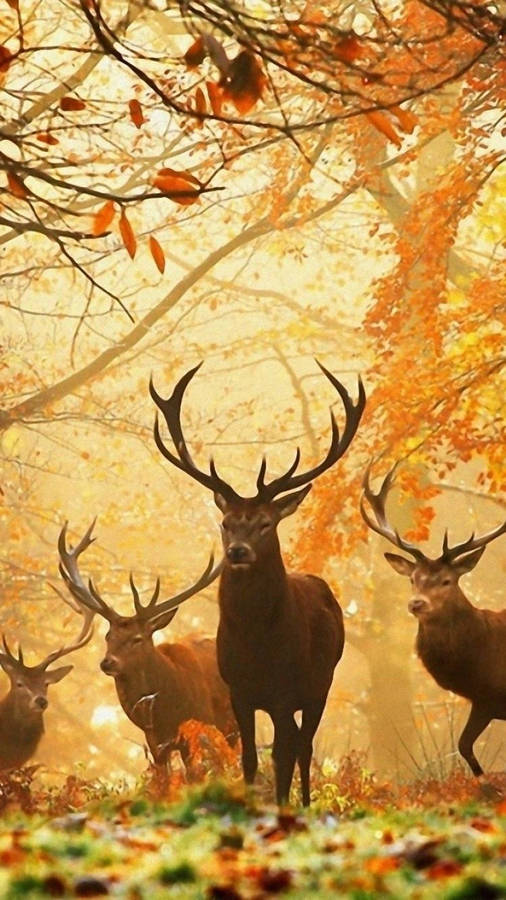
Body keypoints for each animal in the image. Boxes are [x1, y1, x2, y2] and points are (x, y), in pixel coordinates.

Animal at [57, 521, 237, 784]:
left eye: (137, 639)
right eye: (108, 636)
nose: (107, 663)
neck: (167, 710)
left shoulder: (197, 727)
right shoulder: (154, 742)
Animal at [149, 360, 366, 805]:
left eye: (266, 523)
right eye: (226, 522)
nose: (237, 551)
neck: (257, 645)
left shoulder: (285, 690)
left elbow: (282, 755)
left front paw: (282, 806)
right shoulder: (239, 691)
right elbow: (249, 758)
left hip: (321, 683)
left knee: (304, 746)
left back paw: (304, 802)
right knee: (297, 743)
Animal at [361, 463, 506, 783]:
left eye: (446, 580)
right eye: (413, 579)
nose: (416, 603)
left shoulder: (489, 698)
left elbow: (465, 745)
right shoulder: (484, 700)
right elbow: (464, 745)